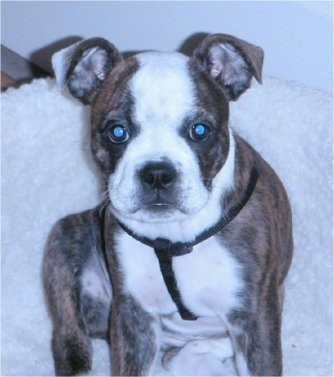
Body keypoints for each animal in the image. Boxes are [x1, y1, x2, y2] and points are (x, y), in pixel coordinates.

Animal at [43, 33, 292, 374]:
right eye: (117, 132)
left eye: (199, 130)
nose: (157, 173)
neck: (175, 235)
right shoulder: (133, 317)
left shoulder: (254, 318)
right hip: (66, 237)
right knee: (67, 327)